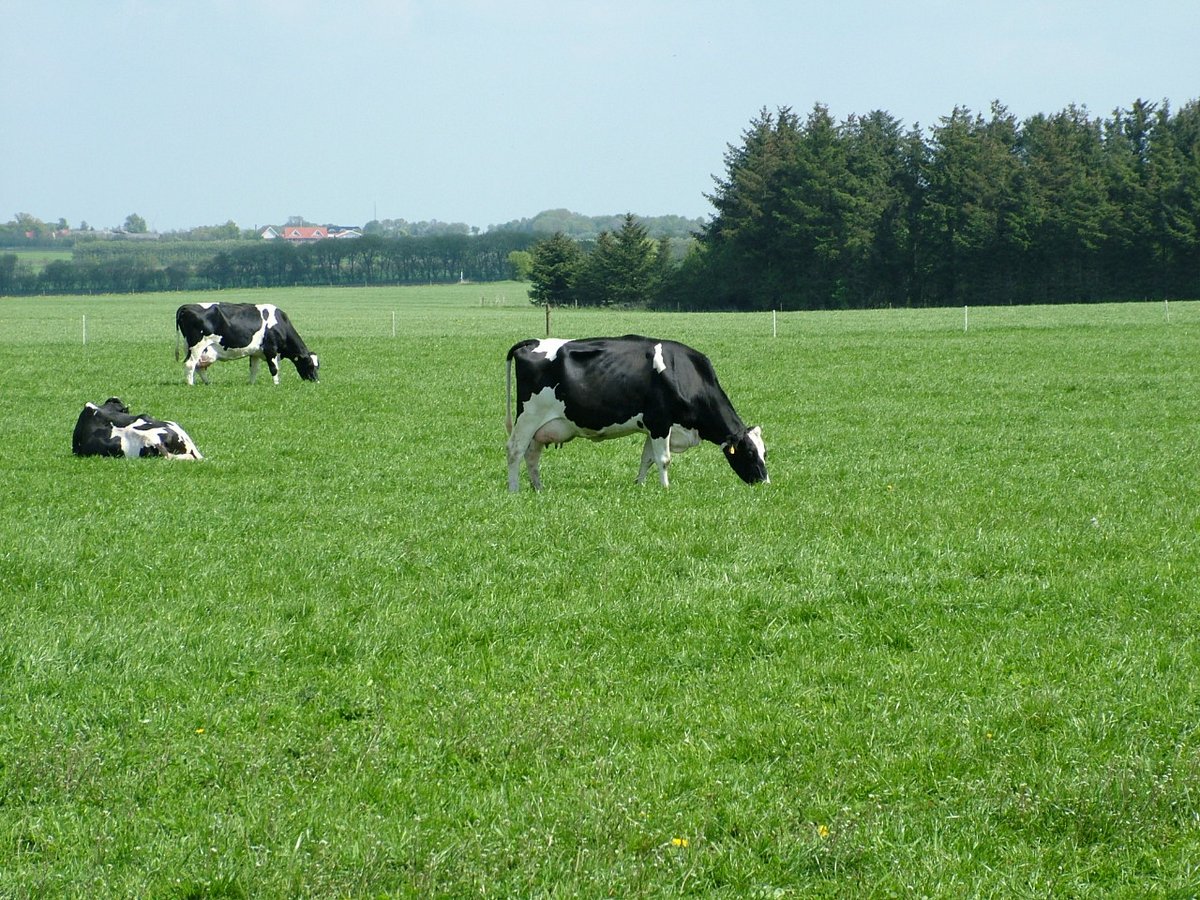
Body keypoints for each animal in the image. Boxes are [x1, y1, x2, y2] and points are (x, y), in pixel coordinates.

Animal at [175, 302, 319, 385]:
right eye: (310, 365)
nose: (316, 381)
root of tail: (186, 306)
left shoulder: (255, 352)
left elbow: (254, 369)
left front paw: (251, 384)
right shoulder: (271, 349)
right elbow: (274, 368)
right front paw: (276, 384)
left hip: (193, 348)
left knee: (199, 367)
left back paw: (207, 383)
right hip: (197, 346)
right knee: (190, 364)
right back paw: (191, 384)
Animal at [505, 335, 768, 492]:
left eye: (765, 452)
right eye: (750, 452)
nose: (765, 483)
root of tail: (533, 342)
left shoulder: (654, 427)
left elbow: (647, 459)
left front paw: (640, 486)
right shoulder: (660, 422)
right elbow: (663, 459)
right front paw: (665, 489)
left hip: (541, 427)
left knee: (532, 456)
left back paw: (538, 488)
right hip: (527, 418)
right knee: (515, 451)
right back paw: (514, 490)